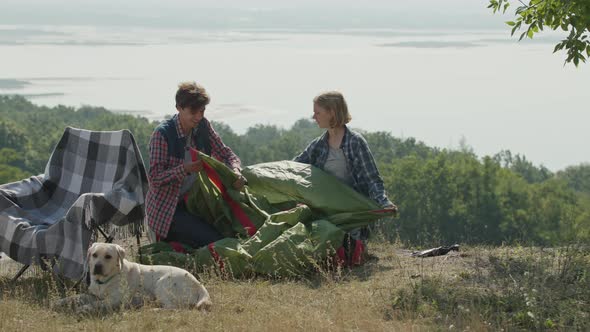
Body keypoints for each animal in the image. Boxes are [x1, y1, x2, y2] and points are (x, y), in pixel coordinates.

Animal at [84, 241, 212, 312]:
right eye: (94, 255)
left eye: (108, 256)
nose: (97, 266)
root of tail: (199, 285)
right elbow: (90, 298)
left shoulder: (116, 299)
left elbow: (98, 303)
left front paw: (86, 307)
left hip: (162, 283)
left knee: (173, 307)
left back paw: (153, 309)